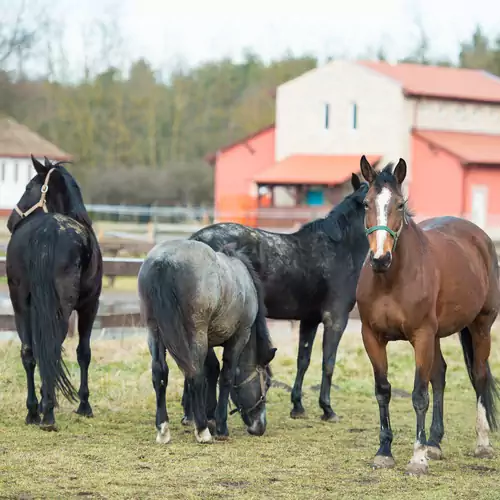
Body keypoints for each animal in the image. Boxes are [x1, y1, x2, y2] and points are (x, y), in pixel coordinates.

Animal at [5, 156, 102, 430]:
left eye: (28, 187)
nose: (10, 222)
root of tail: (46, 231)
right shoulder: (90, 305)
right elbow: (83, 353)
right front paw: (84, 405)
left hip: (20, 304)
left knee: (29, 353)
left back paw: (33, 412)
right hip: (63, 307)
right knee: (53, 349)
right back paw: (48, 413)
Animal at [138, 240, 278, 444]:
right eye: (267, 383)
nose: (260, 426)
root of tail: (164, 261)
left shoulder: (209, 341)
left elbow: (212, 369)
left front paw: (209, 415)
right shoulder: (239, 336)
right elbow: (225, 375)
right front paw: (219, 426)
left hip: (155, 332)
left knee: (160, 372)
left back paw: (163, 429)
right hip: (195, 333)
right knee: (195, 375)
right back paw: (202, 430)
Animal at [183, 174, 368, 420]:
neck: (339, 248)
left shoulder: (309, 320)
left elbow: (303, 361)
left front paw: (298, 406)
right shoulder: (336, 319)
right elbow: (328, 362)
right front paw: (327, 409)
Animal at [356, 156, 500, 476]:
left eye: (399, 204)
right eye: (366, 203)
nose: (380, 258)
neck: (391, 279)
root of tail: (480, 238)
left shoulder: (420, 336)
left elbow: (419, 395)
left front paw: (417, 458)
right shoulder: (372, 337)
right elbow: (383, 391)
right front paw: (384, 451)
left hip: (480, 326)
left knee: (480, 376)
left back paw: (482, 443)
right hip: (436, 335)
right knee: (441, 375)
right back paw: (435, 442)